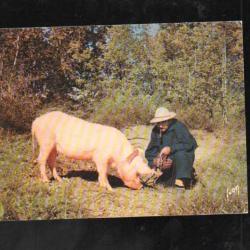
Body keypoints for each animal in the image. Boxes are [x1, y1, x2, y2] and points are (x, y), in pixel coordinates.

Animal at [31, 110, 160, 190]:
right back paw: (46, 181)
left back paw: (60, 180)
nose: (141, 187)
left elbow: (103, 172)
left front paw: (103, 186)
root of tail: (36, 120)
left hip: (53, 146)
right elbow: (103, 172)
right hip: (45, 141)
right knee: (41, 159)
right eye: (137, 172)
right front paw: (110, 189)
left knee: (51, 161)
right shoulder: (101, 157)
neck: (117, 155)